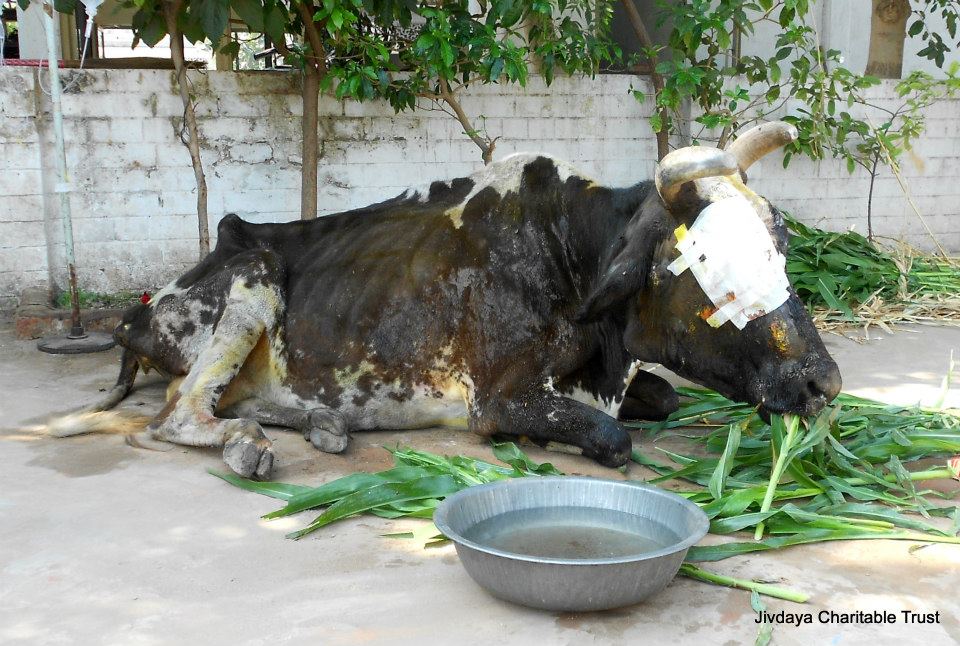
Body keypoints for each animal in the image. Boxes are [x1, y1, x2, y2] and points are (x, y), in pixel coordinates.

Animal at [67, 121, 840, 479]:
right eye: (712, 268)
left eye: (780, 248)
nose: (824, 383)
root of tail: (140, 309)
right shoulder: (496, 399)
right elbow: (614, 439)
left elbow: (668, 394)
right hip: (253, 275)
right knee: (175, 415)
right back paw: (246, 446)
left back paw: (324, 423)